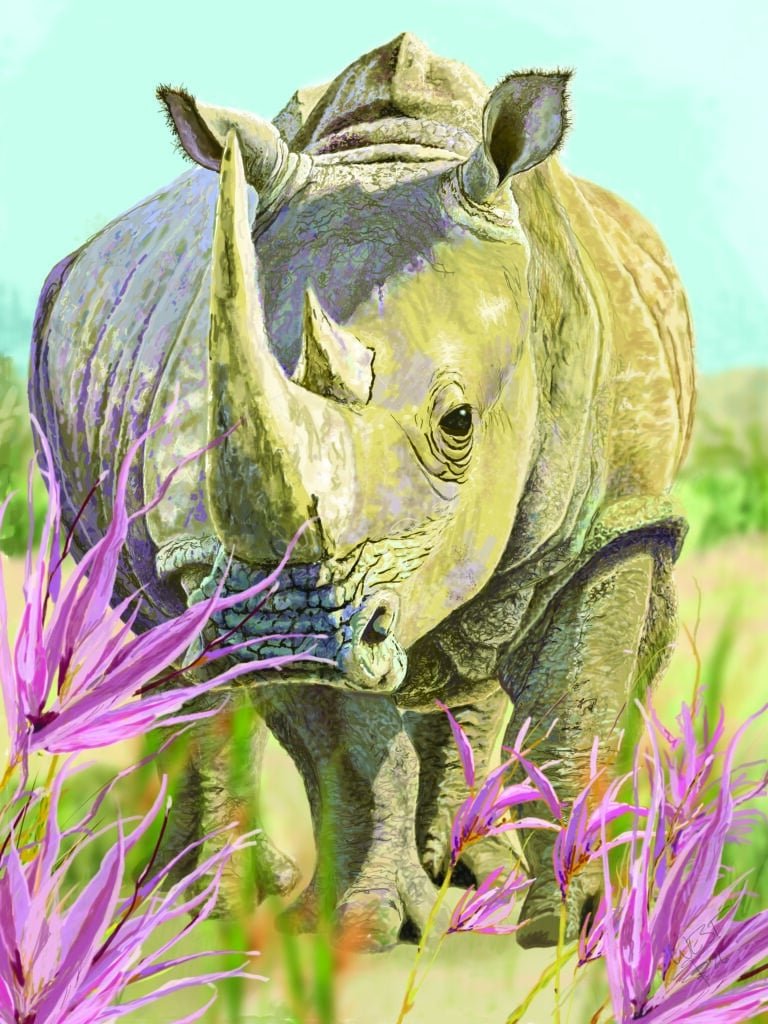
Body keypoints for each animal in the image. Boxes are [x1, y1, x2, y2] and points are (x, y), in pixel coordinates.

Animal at [29, 33, 694, 949]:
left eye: (459, 422)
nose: (289, 630)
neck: (405, 146)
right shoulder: (260, 573)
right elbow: (349, 739)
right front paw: (367, 926)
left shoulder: (621, 516)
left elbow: (579, 702)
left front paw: (574, 924)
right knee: (159, 629)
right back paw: (199, 901)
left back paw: (470, 873)